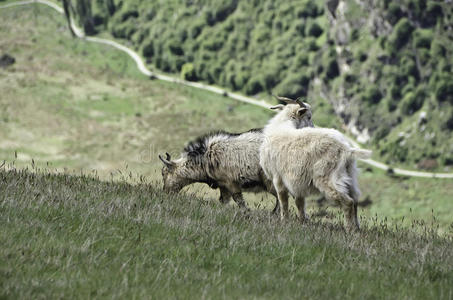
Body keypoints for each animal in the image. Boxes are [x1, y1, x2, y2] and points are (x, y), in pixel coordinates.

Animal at [258, 98, 370, 230]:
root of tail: (346, 148)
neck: (282, 126)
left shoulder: (278, 177)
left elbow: (283, 200)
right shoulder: (297, 182)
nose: (313, 126)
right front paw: (302, 221)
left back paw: (349, 229)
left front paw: (284, 220)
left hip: (327, 176)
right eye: (309, 117)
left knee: (348, 201)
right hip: (350, 173)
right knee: (355, 198)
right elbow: (299, 203)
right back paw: (356, 228)